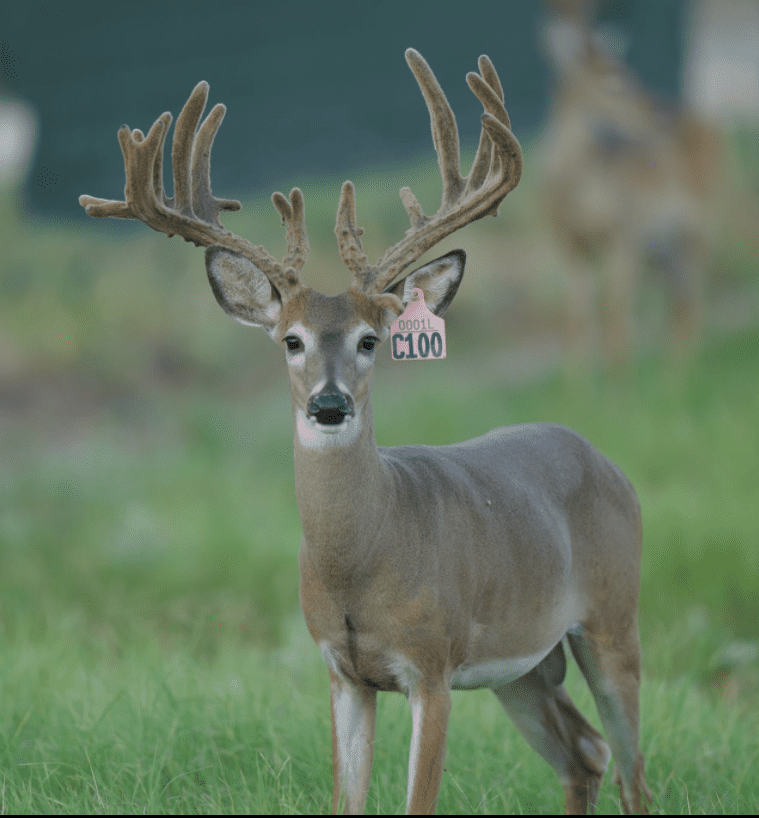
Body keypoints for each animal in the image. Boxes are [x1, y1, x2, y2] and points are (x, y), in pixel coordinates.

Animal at [79, 49, 651, 815]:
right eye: (290, 340)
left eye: (371, 340)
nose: (328, 405)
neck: (362, 561)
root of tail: (603, 459)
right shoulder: (342, 672)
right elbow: (344, 799)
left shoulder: (431, 667)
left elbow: (418, 801)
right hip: (525, 664)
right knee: (584, 753)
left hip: (614, 616)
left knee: (631, 768)